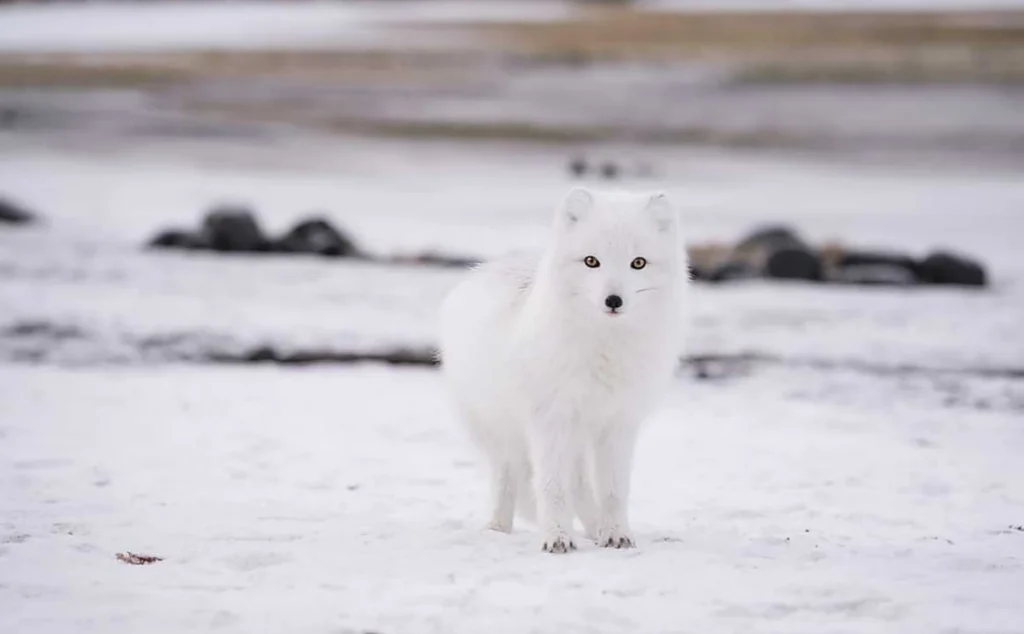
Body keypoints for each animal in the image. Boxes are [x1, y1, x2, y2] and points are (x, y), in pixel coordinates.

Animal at [439, 187, 689, 553]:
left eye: (638, 263)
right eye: (591, 261)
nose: (613, 300)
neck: (603, 349)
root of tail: (488, 267)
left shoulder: (619, 423)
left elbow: (613, 489)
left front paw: (616, 534)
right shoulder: (549, 419)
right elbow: (553, 487)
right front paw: (556, 538)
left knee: (582, 485)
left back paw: (595, 529)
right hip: (502, 433)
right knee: (508, 478)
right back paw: (498, 529)